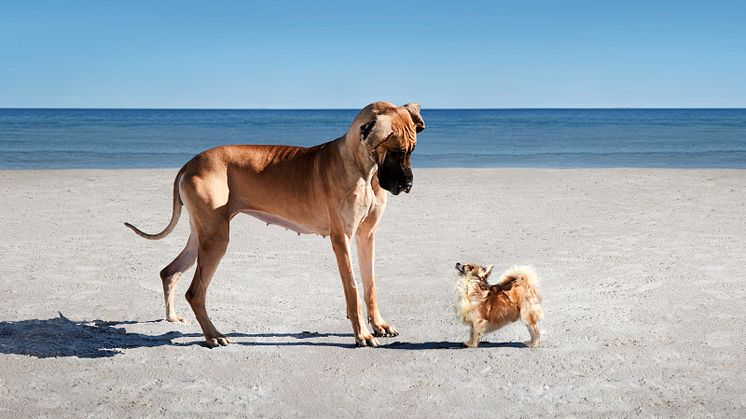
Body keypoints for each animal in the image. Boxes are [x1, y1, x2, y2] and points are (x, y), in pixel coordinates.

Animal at [125, 101, 422, 348]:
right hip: (216, 238)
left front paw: (378, 324)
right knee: (195, 292)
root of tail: (190, 162)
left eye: (412, 150)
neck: (363, 167)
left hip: (202, 234)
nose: (408, 184)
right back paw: (213, 335)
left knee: (169, 272)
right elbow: (353, 288)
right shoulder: (342, 240)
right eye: (395, 151)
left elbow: (370, 285)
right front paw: (362, 334)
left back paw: (173, 317)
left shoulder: (366, 236)